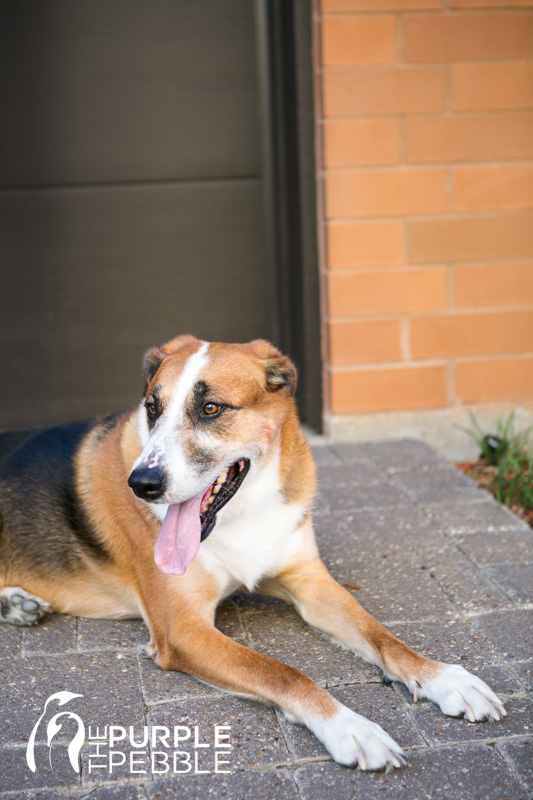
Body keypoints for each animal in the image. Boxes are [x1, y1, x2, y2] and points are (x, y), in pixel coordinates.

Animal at [0, 336, 504, 768]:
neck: (241, 511)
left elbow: (383, 637)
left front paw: (444, 678)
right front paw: (350, 726)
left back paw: (18, 604)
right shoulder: (181, 630)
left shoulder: (309, 581)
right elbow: (282, 673)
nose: (141, 484)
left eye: (210, 408)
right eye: (152, 409)